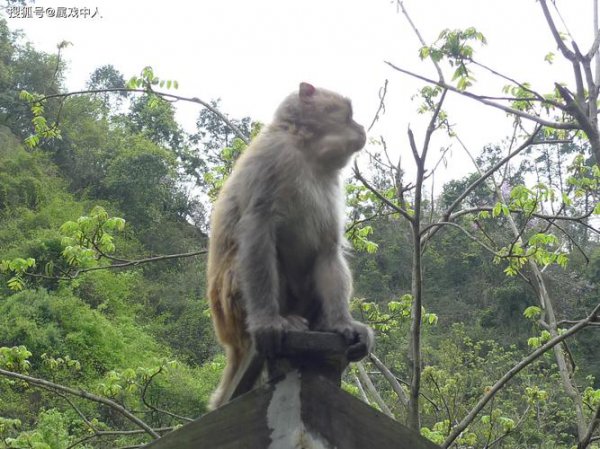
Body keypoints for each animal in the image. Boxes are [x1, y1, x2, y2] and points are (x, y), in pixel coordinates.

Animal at [209, 82, 372, 408]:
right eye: (348, 113)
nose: (361, 127)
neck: (307, 152)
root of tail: (230, 342)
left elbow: (328, 249)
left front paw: (341, 323)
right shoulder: (272, 157)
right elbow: (257, 229)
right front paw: (267, 323)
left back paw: (323, 323)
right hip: (231, 307)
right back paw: (283, 320)